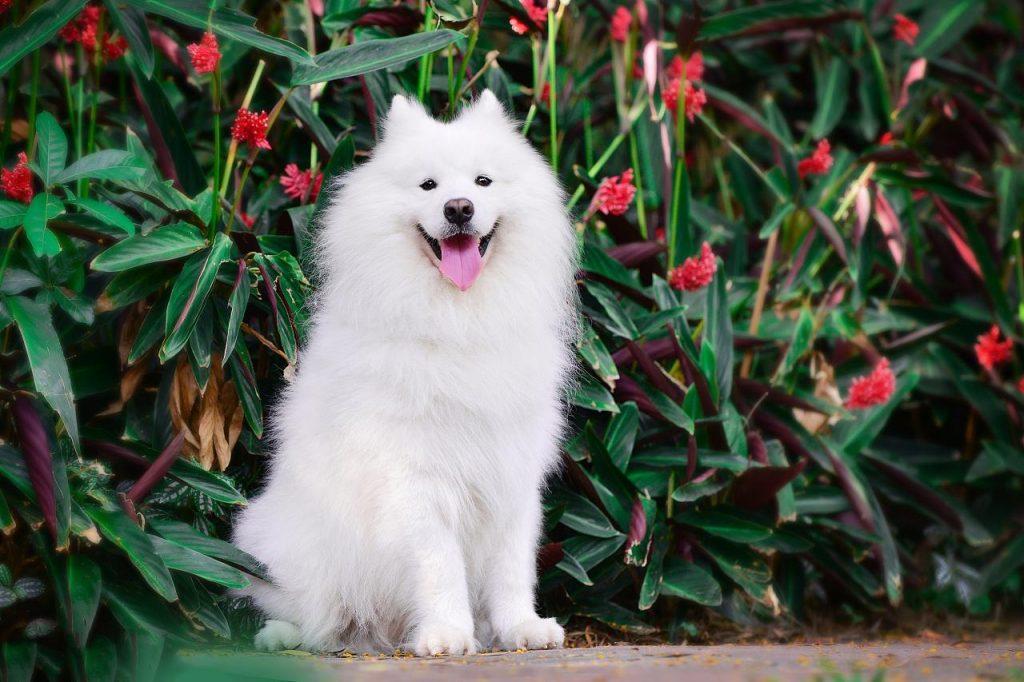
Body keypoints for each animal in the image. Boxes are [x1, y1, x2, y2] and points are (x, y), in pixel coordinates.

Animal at [234, 90, 577, 655]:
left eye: (483, 181)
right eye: (428, 185)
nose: (459, 208)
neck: (459, 321)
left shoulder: (511, 471)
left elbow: (512, 567)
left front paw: (521, 628)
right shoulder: (416, 480)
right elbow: (440, 566)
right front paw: (448, 633)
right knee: (297, 609)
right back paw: (282, 636)